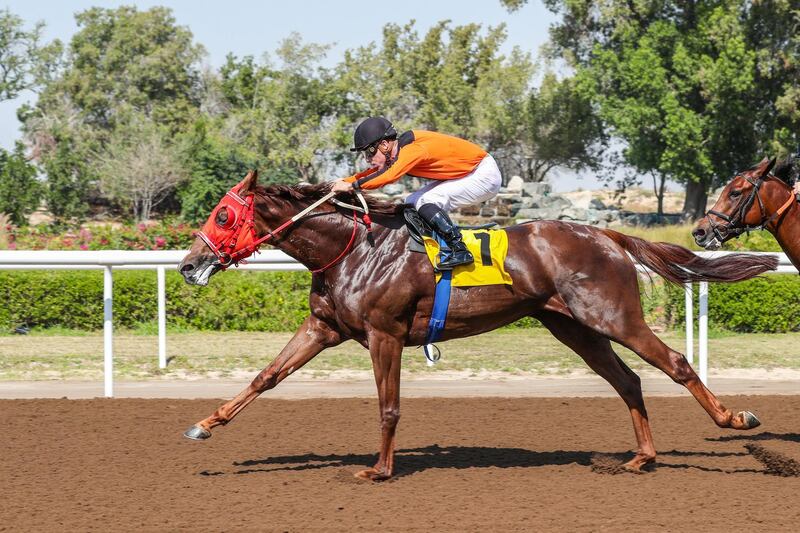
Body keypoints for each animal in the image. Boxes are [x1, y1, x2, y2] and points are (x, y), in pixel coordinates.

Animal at [180, 170, 776, 478]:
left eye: (224, 215)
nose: (189, 265)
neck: (352, 247)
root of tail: (607, 234)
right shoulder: (325, 328)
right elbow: (266, 377)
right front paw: (204, 424)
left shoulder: (384, 334)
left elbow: (389, 406)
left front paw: (379, 469)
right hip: (574, 327)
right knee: (628, 380)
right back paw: (642, 457)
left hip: (612, 316)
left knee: (674, 362)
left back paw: (734, 419)